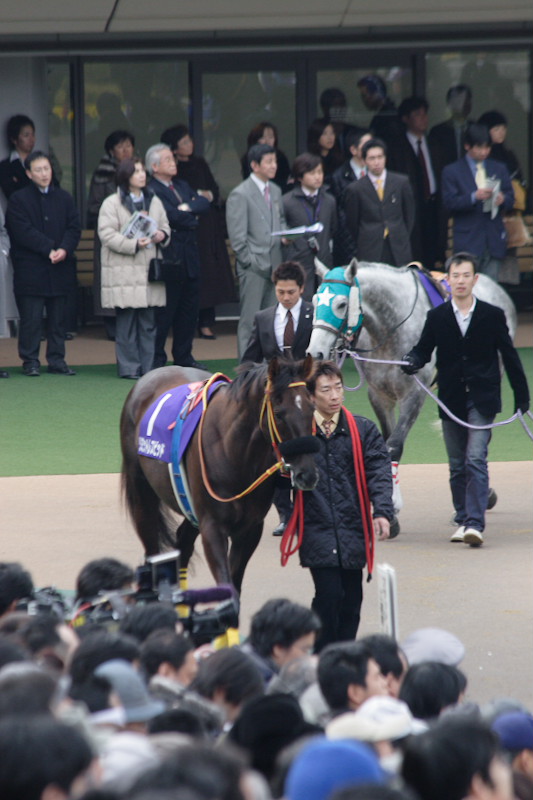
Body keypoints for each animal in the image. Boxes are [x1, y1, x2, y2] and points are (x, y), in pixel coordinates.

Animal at [120, 356, 318, 592]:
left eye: (312, 408)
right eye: (279, 414)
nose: (307, 475)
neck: (232, 453)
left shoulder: (250, 529)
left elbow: (235, 582)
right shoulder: (213, 527)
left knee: (183, 542)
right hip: (143, 496)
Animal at [306, 260, 516, 512]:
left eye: (341, 304)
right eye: (315, 301)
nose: (315, 352)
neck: (390, 330)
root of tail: (496, 288)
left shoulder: (413, 394)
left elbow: (394, 445)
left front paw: (393, 504)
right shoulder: (379, 395)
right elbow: (384, 442)